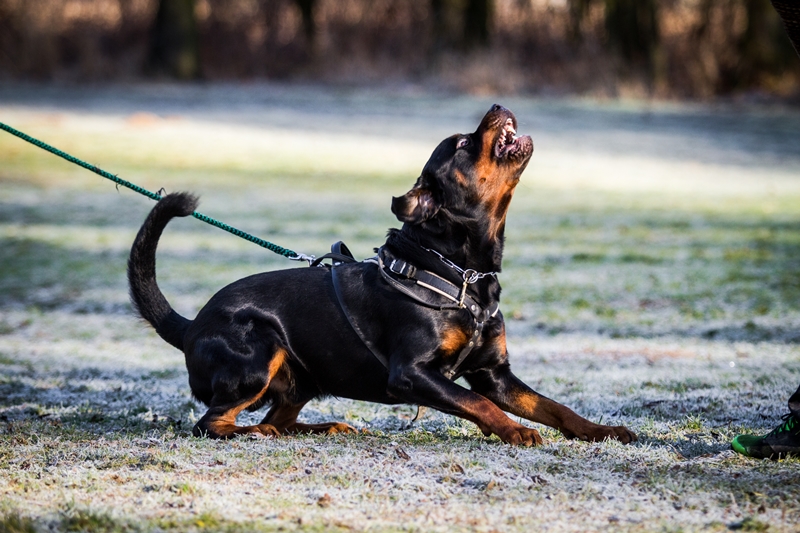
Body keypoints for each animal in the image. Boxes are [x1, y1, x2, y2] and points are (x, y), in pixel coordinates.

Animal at [126, 104, 636, 444]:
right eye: (463, 143)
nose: (496, 106)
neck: (463, 274)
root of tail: (190, 325)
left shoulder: (495, 373)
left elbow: (554, 406)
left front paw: (604, 430)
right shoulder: (412, 374)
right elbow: (478, 404)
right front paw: (515, 432)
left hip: (303, 376)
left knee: (277, 419)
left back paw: (324, 426)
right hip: (258, 354)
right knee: (212, 423)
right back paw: (253, 434)